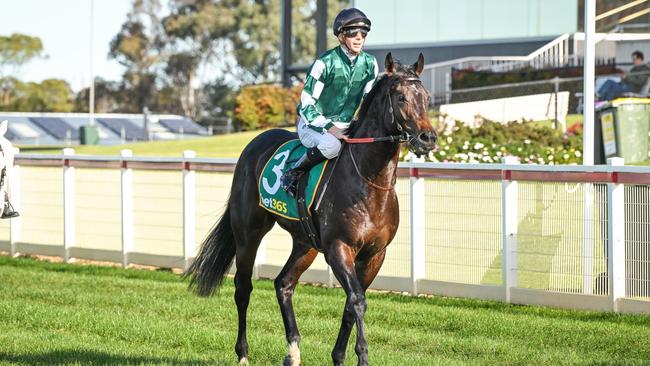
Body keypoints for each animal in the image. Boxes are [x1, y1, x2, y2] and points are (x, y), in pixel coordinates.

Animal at [186, 53, 436, 364]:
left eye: (426, 97)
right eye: (401, 97)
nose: (428, 138)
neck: (368, 182)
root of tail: (254, 144)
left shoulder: (375, 254)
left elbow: (351, 304)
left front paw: (338, 356)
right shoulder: (339, 248)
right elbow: (357, 300)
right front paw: (361, 355)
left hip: (305, 243)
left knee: (283, 283)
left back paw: (293, 351)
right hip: (248, 233)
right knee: (243, 288)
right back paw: (243, 353)